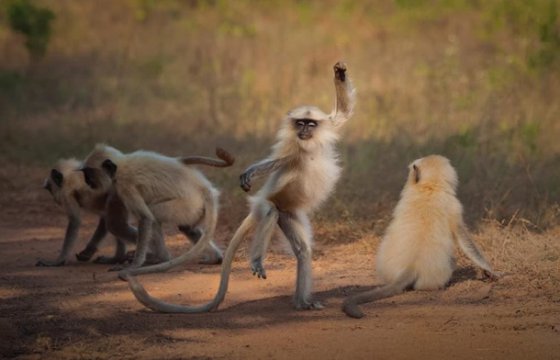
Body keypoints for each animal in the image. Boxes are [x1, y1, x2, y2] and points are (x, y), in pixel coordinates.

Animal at [80, 145, 234, 278]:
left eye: (89, 174)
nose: (87, 182)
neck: (121, 165)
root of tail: (203, 188)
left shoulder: (125, 185)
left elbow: (146, 218)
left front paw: (133, 266)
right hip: (196, 208)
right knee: (186, 227)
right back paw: (215, 258)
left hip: (185, 204)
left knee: (153, 216)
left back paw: (161, 258)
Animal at [126, 59, 354, 312]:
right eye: (300, 123)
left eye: (310, 124)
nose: (303, 130)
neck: (309, 145)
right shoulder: (291, 150)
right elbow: (275, 162)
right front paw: (250, 173)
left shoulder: (324, 129)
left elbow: (343, 114)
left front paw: (340, 73)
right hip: (270, 205)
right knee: (269, 211)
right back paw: (257, 260)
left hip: (289, 214)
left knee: (303, 251)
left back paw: (302, 302)